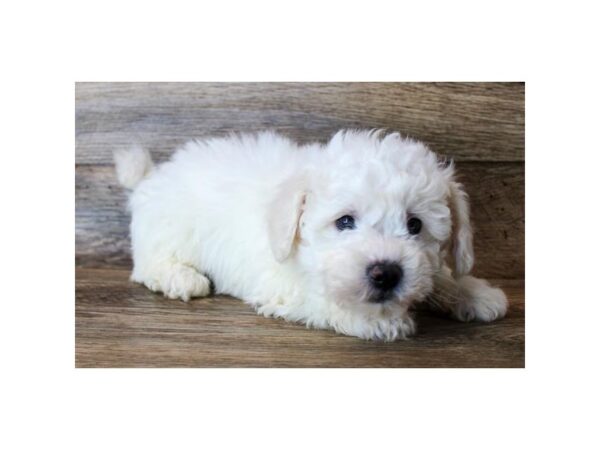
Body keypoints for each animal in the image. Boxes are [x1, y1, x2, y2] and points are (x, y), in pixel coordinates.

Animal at [112, 130, 506, 342]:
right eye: (345, 222)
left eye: (415, 225)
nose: (386, 273)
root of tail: (150, 177)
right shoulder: (281, 284)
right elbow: (326, 299)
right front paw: (379, 321)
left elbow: (438, 274)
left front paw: (473, 292)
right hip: (167, 233)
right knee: (148, 265)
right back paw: (181, 277)